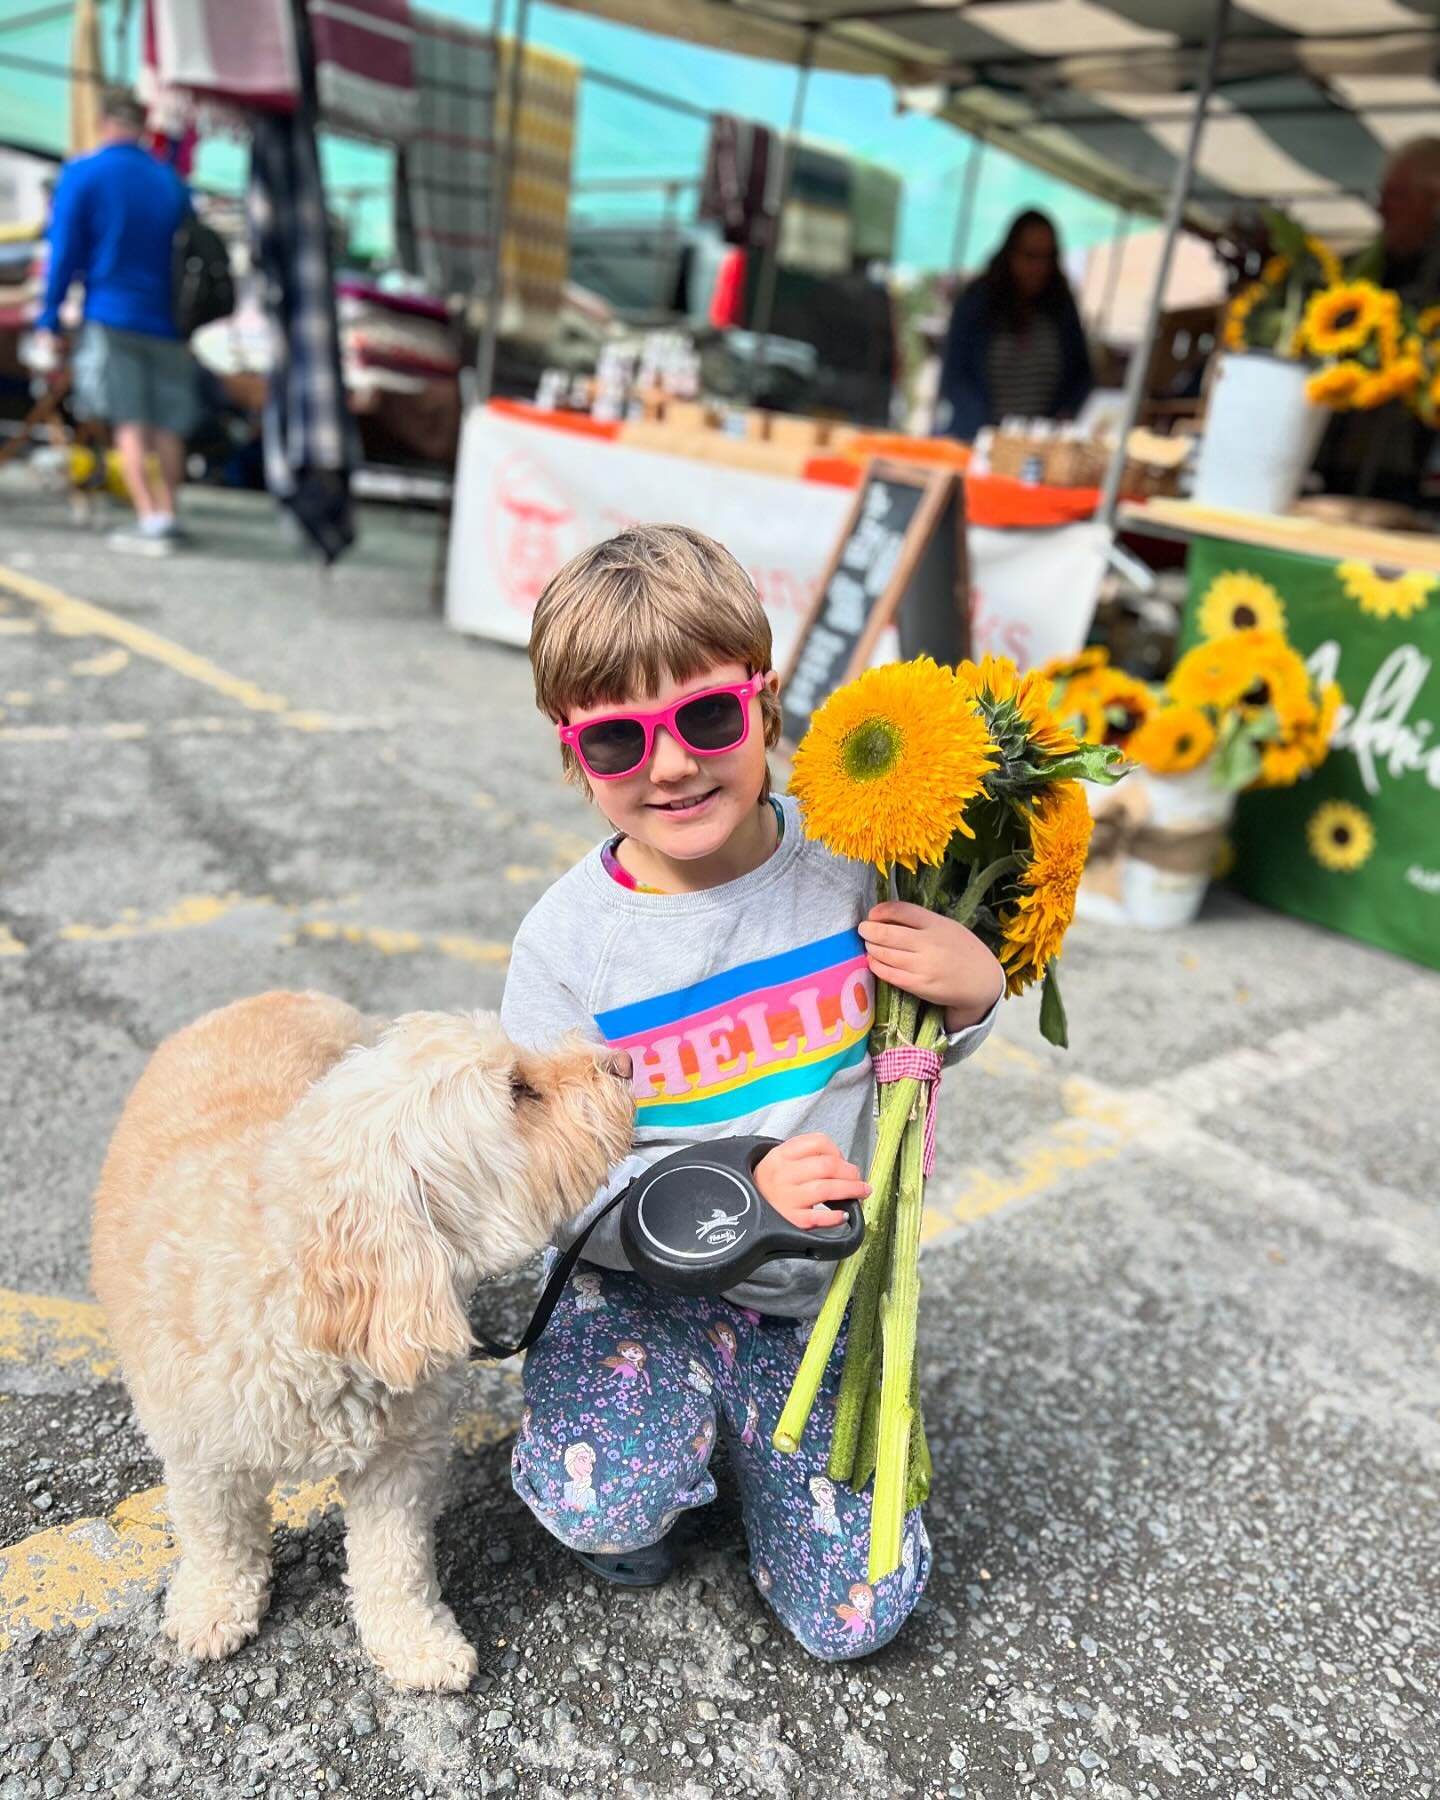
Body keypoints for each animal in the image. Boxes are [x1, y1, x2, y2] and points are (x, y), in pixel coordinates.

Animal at [90, 1000, 630, 1684]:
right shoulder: (200, 1452)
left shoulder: (401, 1455)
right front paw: (214, 1605)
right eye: (517, 1090)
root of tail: (271, 995)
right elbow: (218, 1537)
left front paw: (415, 1642)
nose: (624, 1062)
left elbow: (395, 1559)